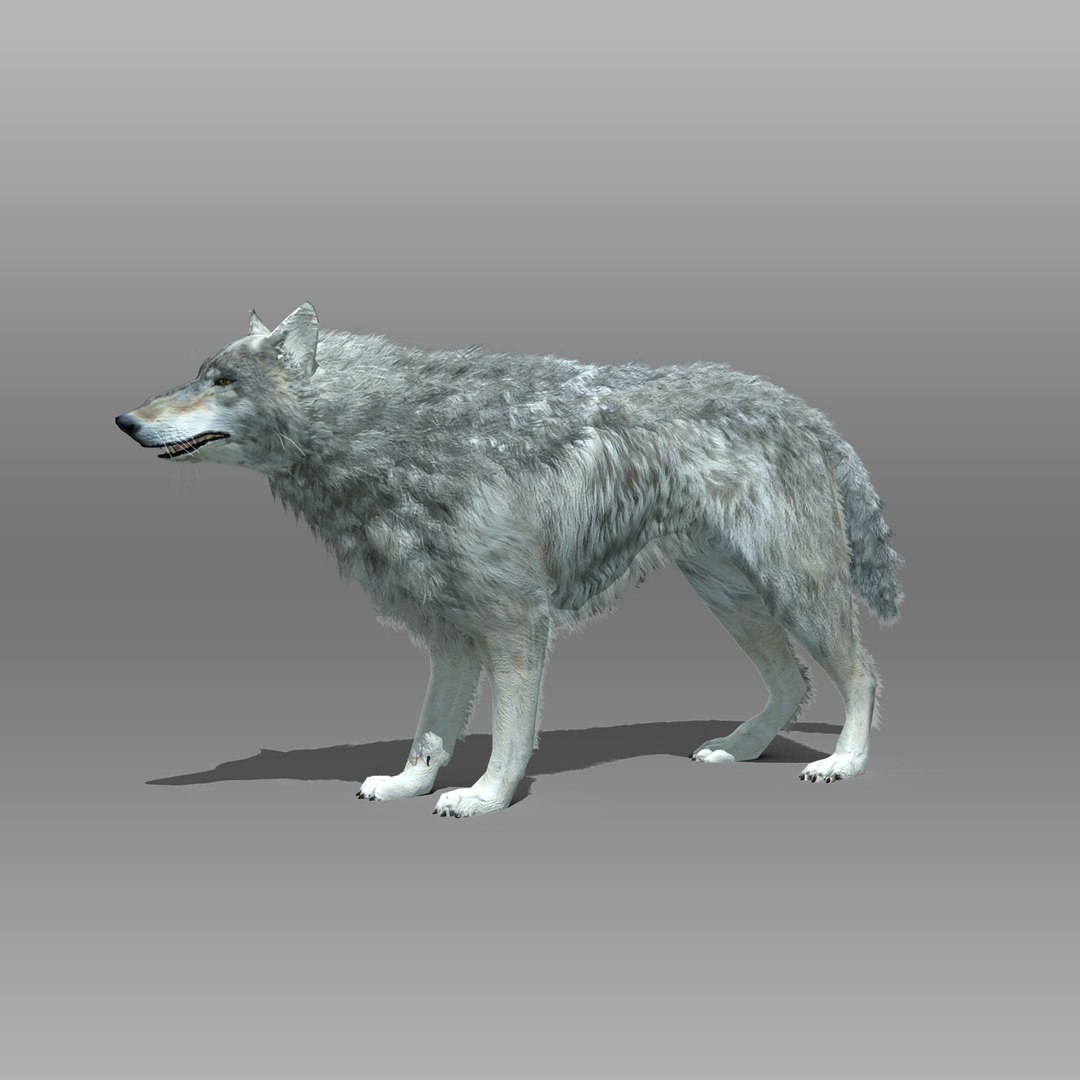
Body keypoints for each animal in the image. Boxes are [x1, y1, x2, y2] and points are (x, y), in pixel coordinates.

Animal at [116, 303, 902, 816]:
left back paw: (844, 763)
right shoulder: (448, 636)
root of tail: (799, 408)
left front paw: (485, 797)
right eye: (199, 374)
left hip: (796, 590)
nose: (125, 420)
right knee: (794, 681)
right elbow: (430, 735)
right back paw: (742, 749)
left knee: (862, 673)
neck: (388, 431)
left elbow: (509, 735)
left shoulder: (515, 624)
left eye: (223, 381)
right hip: (732, 599)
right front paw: (410, 787)